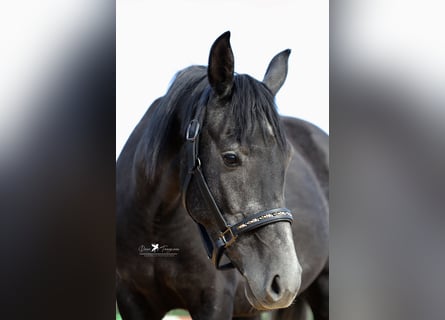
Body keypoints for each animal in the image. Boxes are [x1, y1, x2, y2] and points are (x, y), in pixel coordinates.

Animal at [116, 31, 328, 320]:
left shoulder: (215, 301)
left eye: (288, 158)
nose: (284, 280)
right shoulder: (132, 300)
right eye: (230, 158)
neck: (155, 223)